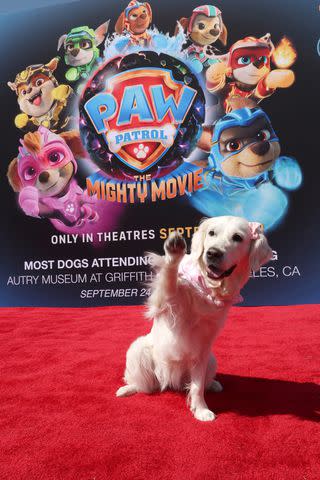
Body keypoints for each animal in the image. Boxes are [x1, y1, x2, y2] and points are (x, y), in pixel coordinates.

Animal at [115, 216, 272, 422]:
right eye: (212, 233)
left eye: (237, 237)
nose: (212, 253)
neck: (207, 288)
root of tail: (170, 381)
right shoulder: (164, 303)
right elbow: (169, 279)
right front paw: (173, 253)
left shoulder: (202, 349)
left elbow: (197, 386)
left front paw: (201, 410)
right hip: (138, 349)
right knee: (145, 386)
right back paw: (127, 389)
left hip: (211, 360)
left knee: (195, 382)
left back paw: (212, 384)